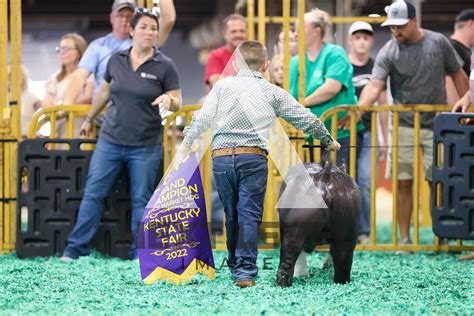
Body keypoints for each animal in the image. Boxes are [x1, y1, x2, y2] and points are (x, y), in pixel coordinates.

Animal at [274, 158, 360, 286]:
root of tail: (325, 177)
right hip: (347, 226)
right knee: (343, 259)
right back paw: (340, 283)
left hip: (293, 230)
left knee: (288, 259)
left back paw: (282, 285)